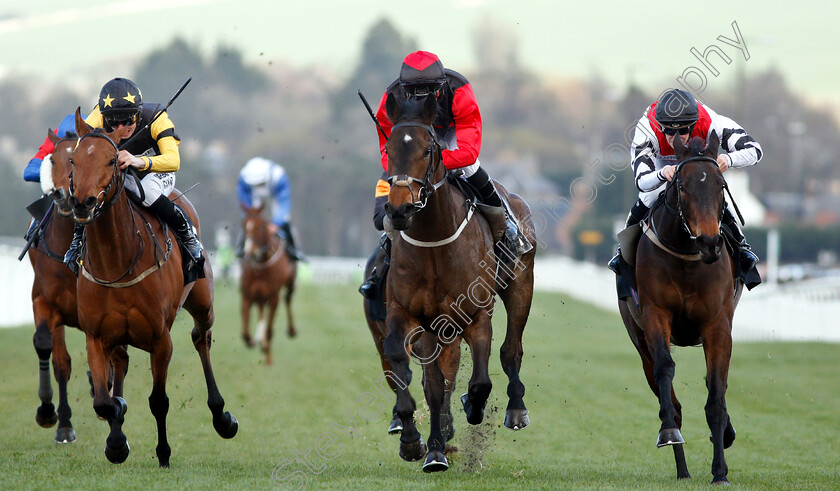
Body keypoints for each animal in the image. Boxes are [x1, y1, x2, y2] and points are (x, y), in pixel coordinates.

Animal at [64, 109, 236, 468]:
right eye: (73, 159)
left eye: (113, 160)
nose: (83, 203)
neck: (117, 262)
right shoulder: (95, 336)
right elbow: (104, 401)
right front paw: (116, 441)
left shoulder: (160, 339)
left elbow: (159, 400)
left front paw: (164, 454)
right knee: (121, 362)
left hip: (203, 304)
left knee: (201, 339)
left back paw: (222, 417)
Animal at [240, 202, 298, 368]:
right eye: (243, 225)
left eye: (260, 227)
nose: (249, 252)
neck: (260, 266)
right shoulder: (247, 296)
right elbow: (245, 333)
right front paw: (254, 341)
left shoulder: (273, 298)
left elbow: (270, 330)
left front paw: (268, 358)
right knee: (260, 310)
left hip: (290, 283)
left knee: (288, 299)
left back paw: (290, 331)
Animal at [378, 92, 536, 472]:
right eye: (389, 148)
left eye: (427, 150)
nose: (400, 210)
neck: (435, 241)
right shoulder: (407, 313)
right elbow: (412, 369)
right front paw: (416, 442)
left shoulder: (477, 316)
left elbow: (480, 381)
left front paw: (473, 407)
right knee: (439, 378)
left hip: (521, 286)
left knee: (511, 350)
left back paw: (516, 409)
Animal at [616, 133, 740, 486]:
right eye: (682, 186)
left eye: (721, 184)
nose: (710, 242)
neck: (687, 255)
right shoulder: (656, 316)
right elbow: (665, 371)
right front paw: (669, 432)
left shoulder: (717, 325)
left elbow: (716, 393)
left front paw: (720, 471)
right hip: (638, 339)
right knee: (669, 397)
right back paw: (682, 468)